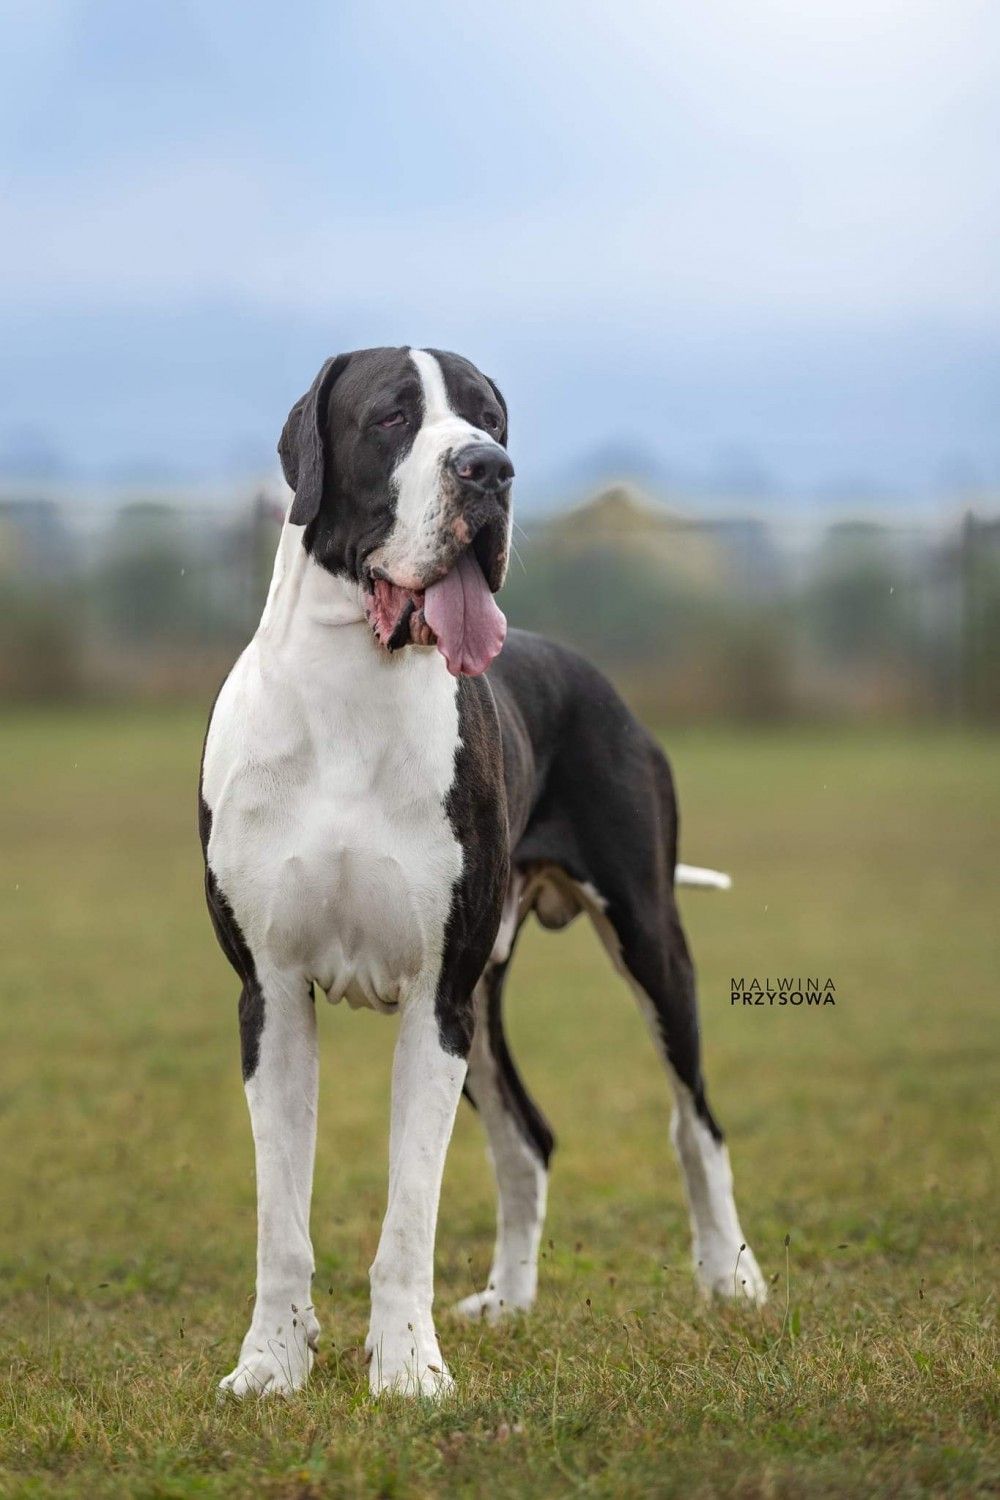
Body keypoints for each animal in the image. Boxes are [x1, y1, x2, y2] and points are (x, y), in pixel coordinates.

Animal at [199, 346, 765, 1399]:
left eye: (490, 418)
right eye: (391, 415)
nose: (488, 470)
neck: (352, 691)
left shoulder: (436, 998)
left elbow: (408, 1216)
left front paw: (408, 1369)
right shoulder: (272, 995)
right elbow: (280, 1223)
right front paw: (271, 1363)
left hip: (645, 940)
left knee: (693, 1121)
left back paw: (730, 1276)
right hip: (488, 1001)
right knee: (526, 1140)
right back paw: (508, 1301)